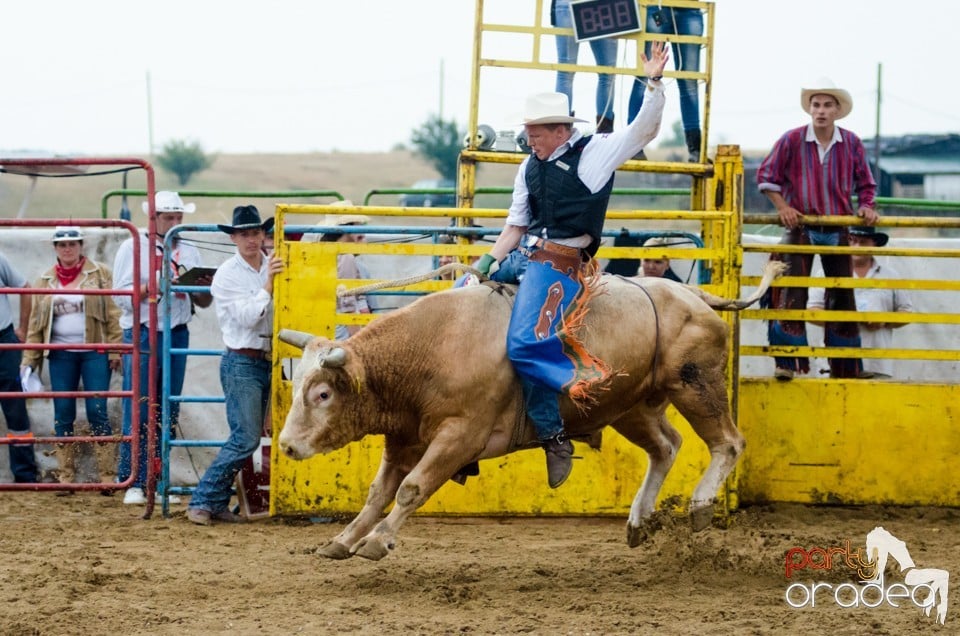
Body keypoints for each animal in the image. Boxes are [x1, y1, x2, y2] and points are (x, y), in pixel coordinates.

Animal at [274, 264, 784, 560]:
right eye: (297, 386)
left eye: (323, 394)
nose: (287, 446)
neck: (430, 349)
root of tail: (696, 296)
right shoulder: (405, 438)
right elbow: (378, 493)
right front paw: (343, 540)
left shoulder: (459, 436)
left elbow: (411, 489)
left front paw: (378, 540)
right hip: (628, 406)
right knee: (666, 446)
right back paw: (639, 520)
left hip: (695, 383)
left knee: (727, 443)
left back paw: (700, 505)